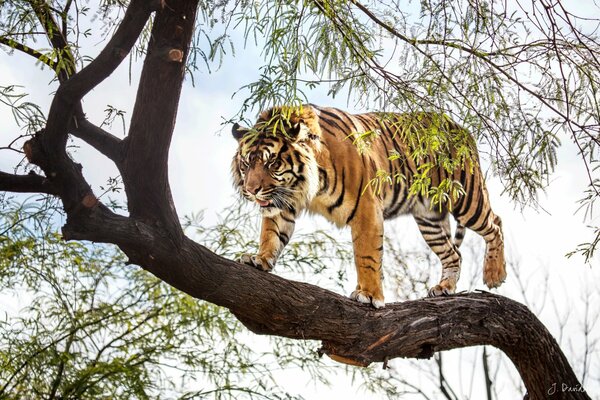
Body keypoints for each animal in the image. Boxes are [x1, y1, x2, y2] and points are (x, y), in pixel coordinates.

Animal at [232, 104, 504, 308]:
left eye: (272, 163)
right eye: (246, 163)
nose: (251, 190)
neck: (307, 185)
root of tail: (461, 128)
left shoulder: (366, 209)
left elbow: (367, 256)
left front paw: (370, 296)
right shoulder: (282, 202)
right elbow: (271, 234)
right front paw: (259, 259)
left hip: (466, 199)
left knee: (495, 224)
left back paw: (494, 274)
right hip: (429, 219)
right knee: (453, 253)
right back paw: (444, 287)